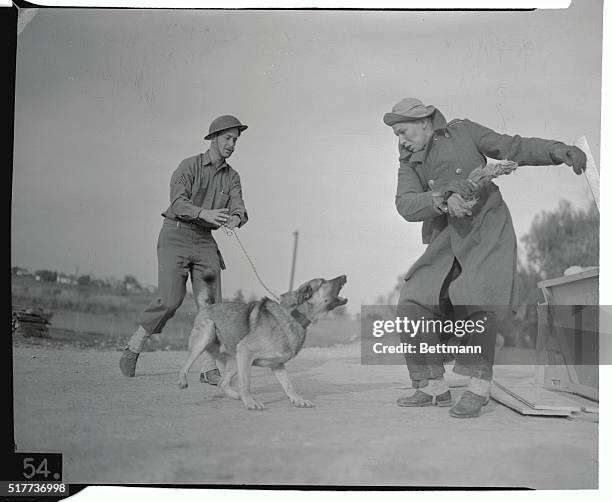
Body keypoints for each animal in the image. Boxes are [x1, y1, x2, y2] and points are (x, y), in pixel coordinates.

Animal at [179, 276, 346, 410]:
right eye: (323, 282)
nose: (344, 276)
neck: (294, 316)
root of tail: (207, 307)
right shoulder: (246, 352)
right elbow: (246, 383)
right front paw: (250, 403)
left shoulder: (277, 365)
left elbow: (289, 385)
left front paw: (298, 400)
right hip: (207, 334)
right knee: (185, 366)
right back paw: (183, 381)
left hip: (235, 360)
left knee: (222, 382)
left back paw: (236, 396)